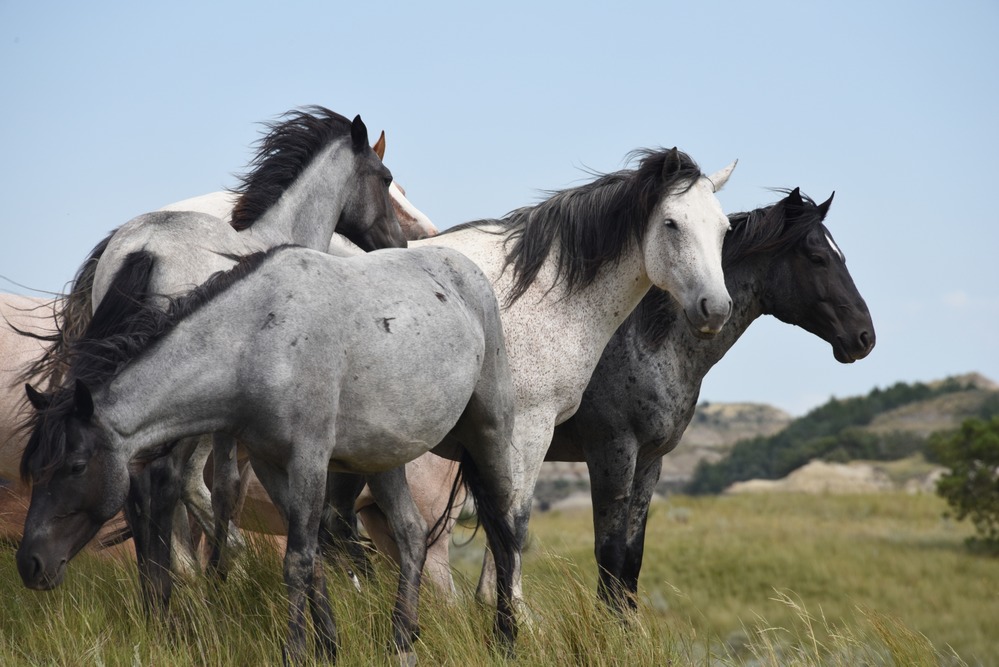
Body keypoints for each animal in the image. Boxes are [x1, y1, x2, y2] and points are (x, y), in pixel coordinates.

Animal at [17, 244, 520, 664]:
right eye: (36, 470)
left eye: (76, 466)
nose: (30, 563)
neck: (256, 341)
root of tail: (467, 272)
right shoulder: (271, 465)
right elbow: (313, 560)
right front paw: (327, 647)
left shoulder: (309, 460)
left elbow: (297, 560)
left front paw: (295, 651)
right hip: (384, 459)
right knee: (413, 535)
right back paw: (402, 639)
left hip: (489, 435)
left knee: (504, 531)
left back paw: (506, 637)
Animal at [347, 187, 876, 607]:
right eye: (817, 257)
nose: (864, 337)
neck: (644, 339)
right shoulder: (611, 453)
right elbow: (609, 555)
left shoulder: (650, 461)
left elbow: (631, 562)